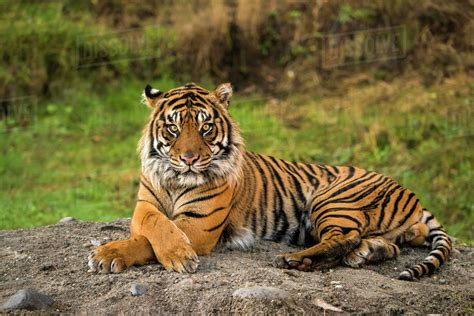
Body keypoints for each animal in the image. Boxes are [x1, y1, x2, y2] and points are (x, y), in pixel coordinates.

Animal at [87, 82, 454, 282]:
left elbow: (151, 240)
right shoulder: (144, 207)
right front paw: (113, 252)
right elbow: (154, 227)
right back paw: (365, 253)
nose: (189, 159)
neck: (177, 181)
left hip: (333, 198)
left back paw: (295, 260)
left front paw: (112, 254)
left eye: (206, 128)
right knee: (390, 242)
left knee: (343, 237)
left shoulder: (200, 226)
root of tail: (411, 193)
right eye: (173, 128)